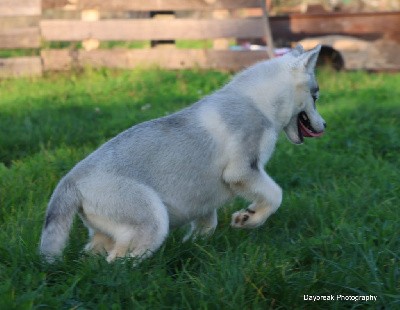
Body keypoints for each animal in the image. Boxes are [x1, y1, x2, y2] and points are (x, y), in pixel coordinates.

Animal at [39, 44, 324, 262]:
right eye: (316, 96)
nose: (325, 125)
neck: (256, 102)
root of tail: (70, 180)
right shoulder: (243, 170)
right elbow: (275, 195)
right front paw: (250, 218)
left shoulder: (205, 197)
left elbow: (207, 223)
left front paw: (199, 240)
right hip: (151, 221)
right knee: (118, 263)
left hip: (105, 232)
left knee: (92, 256)